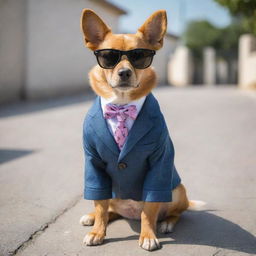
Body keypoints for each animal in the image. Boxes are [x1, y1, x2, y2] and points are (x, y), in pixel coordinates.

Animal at [79, 9, 201, 251]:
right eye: (109, 57)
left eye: (140, 56)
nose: (125, 72)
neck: (121, 104)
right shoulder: (93, 164)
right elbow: (100, 205)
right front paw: (98, 231)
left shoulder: (158, 164)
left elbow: (149, 210)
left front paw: (148, 235)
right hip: (113, 194)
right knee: (109, 210)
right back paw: (92, 217)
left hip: (176, 190)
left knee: (173, 212)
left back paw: (166, 223)